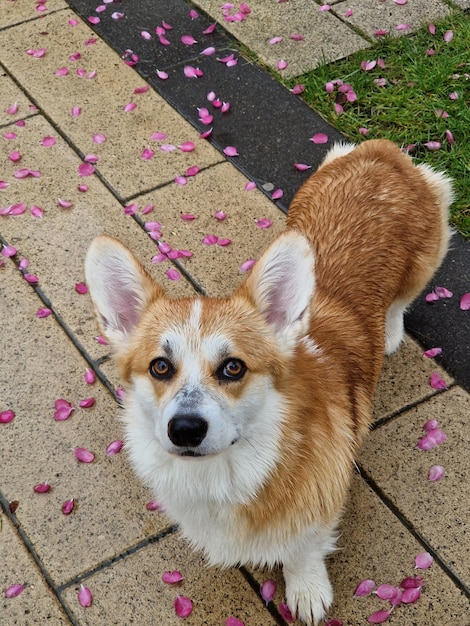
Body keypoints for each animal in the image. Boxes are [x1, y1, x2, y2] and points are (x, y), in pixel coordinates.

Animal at [84, 139, 452, 620]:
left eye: (233, 367)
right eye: (160, 366)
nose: (185, 429)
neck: (228, 471)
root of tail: (383, 150)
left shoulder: (322, 502)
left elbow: (304, 549)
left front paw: (308, 591)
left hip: (430, 249)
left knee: (402, 300)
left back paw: (389, 333)